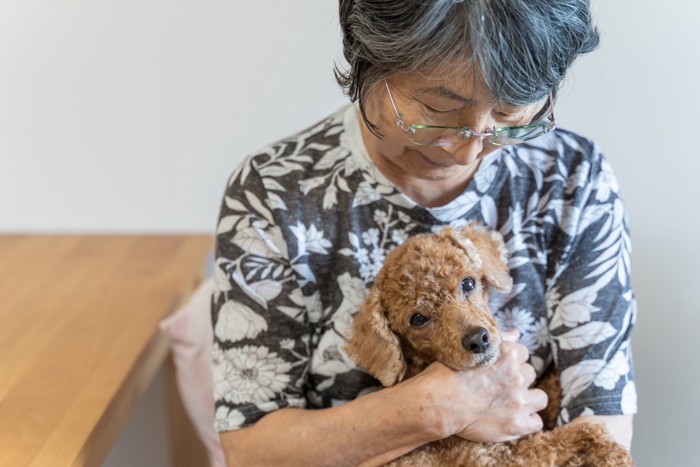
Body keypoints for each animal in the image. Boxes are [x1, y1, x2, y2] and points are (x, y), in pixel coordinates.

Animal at [346, 225, 636, 466]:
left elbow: (549, 394)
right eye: (417, 319)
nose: (478, 339)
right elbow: (565, 439)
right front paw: (612, 452)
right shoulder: (496, 458)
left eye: (468, 283)